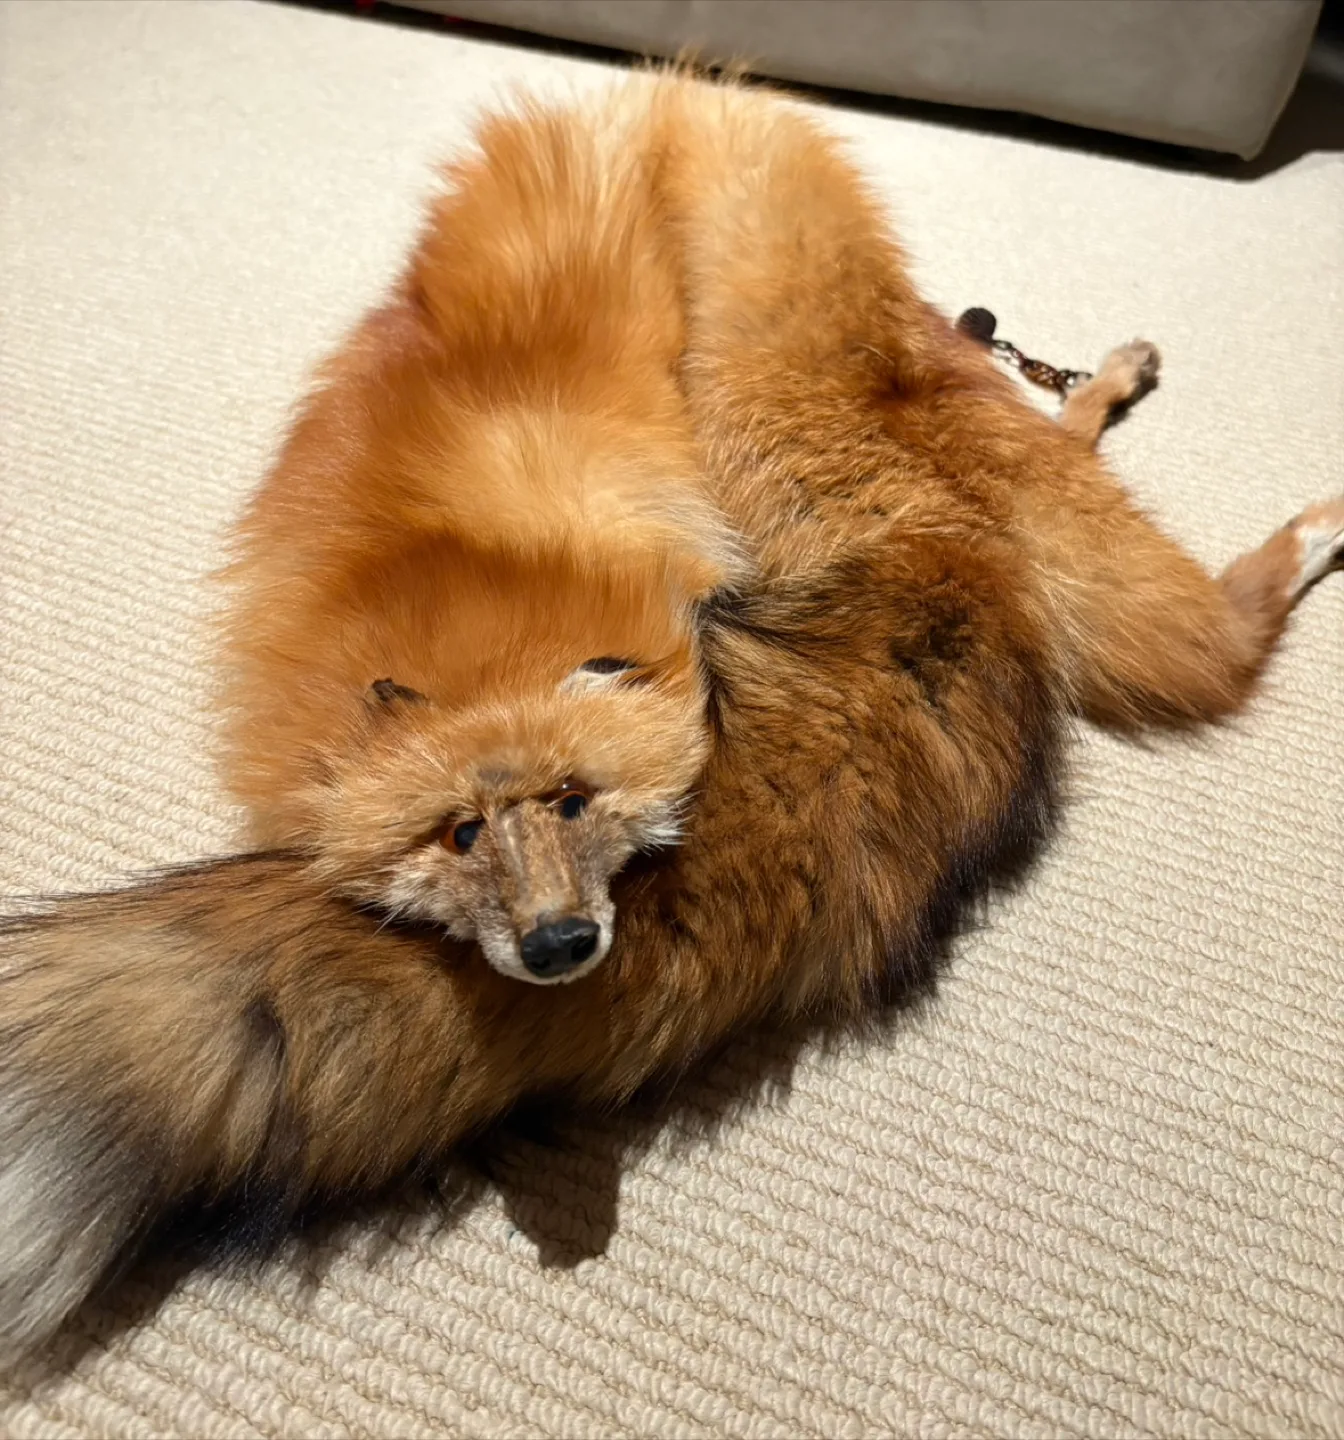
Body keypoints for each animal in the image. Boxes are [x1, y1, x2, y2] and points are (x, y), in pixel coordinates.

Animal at [1, 69, 1342, 1368]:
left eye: (570, 806)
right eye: (460, 837)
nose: (559, 947)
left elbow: (1068, 397)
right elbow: (1077, 407)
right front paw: (1107, 368)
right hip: (1120, 593)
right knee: (1226, 627)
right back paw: (1315, 516)